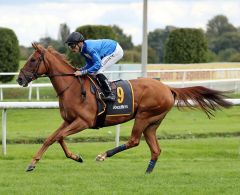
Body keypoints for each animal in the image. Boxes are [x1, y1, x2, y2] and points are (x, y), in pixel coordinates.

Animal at [17, 43, 232, 173]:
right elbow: (51, 138)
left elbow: (59, 137)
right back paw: (147, 172)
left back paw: (103, 155)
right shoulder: (68, 120)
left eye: (33, 60)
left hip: (144, 116)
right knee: (156, 149)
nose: (19, 79)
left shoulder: (83, 122)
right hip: (152, 123)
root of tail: (167, 88)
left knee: (134, 141)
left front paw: (76, 157)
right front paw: (33, 163)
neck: (72, 88)